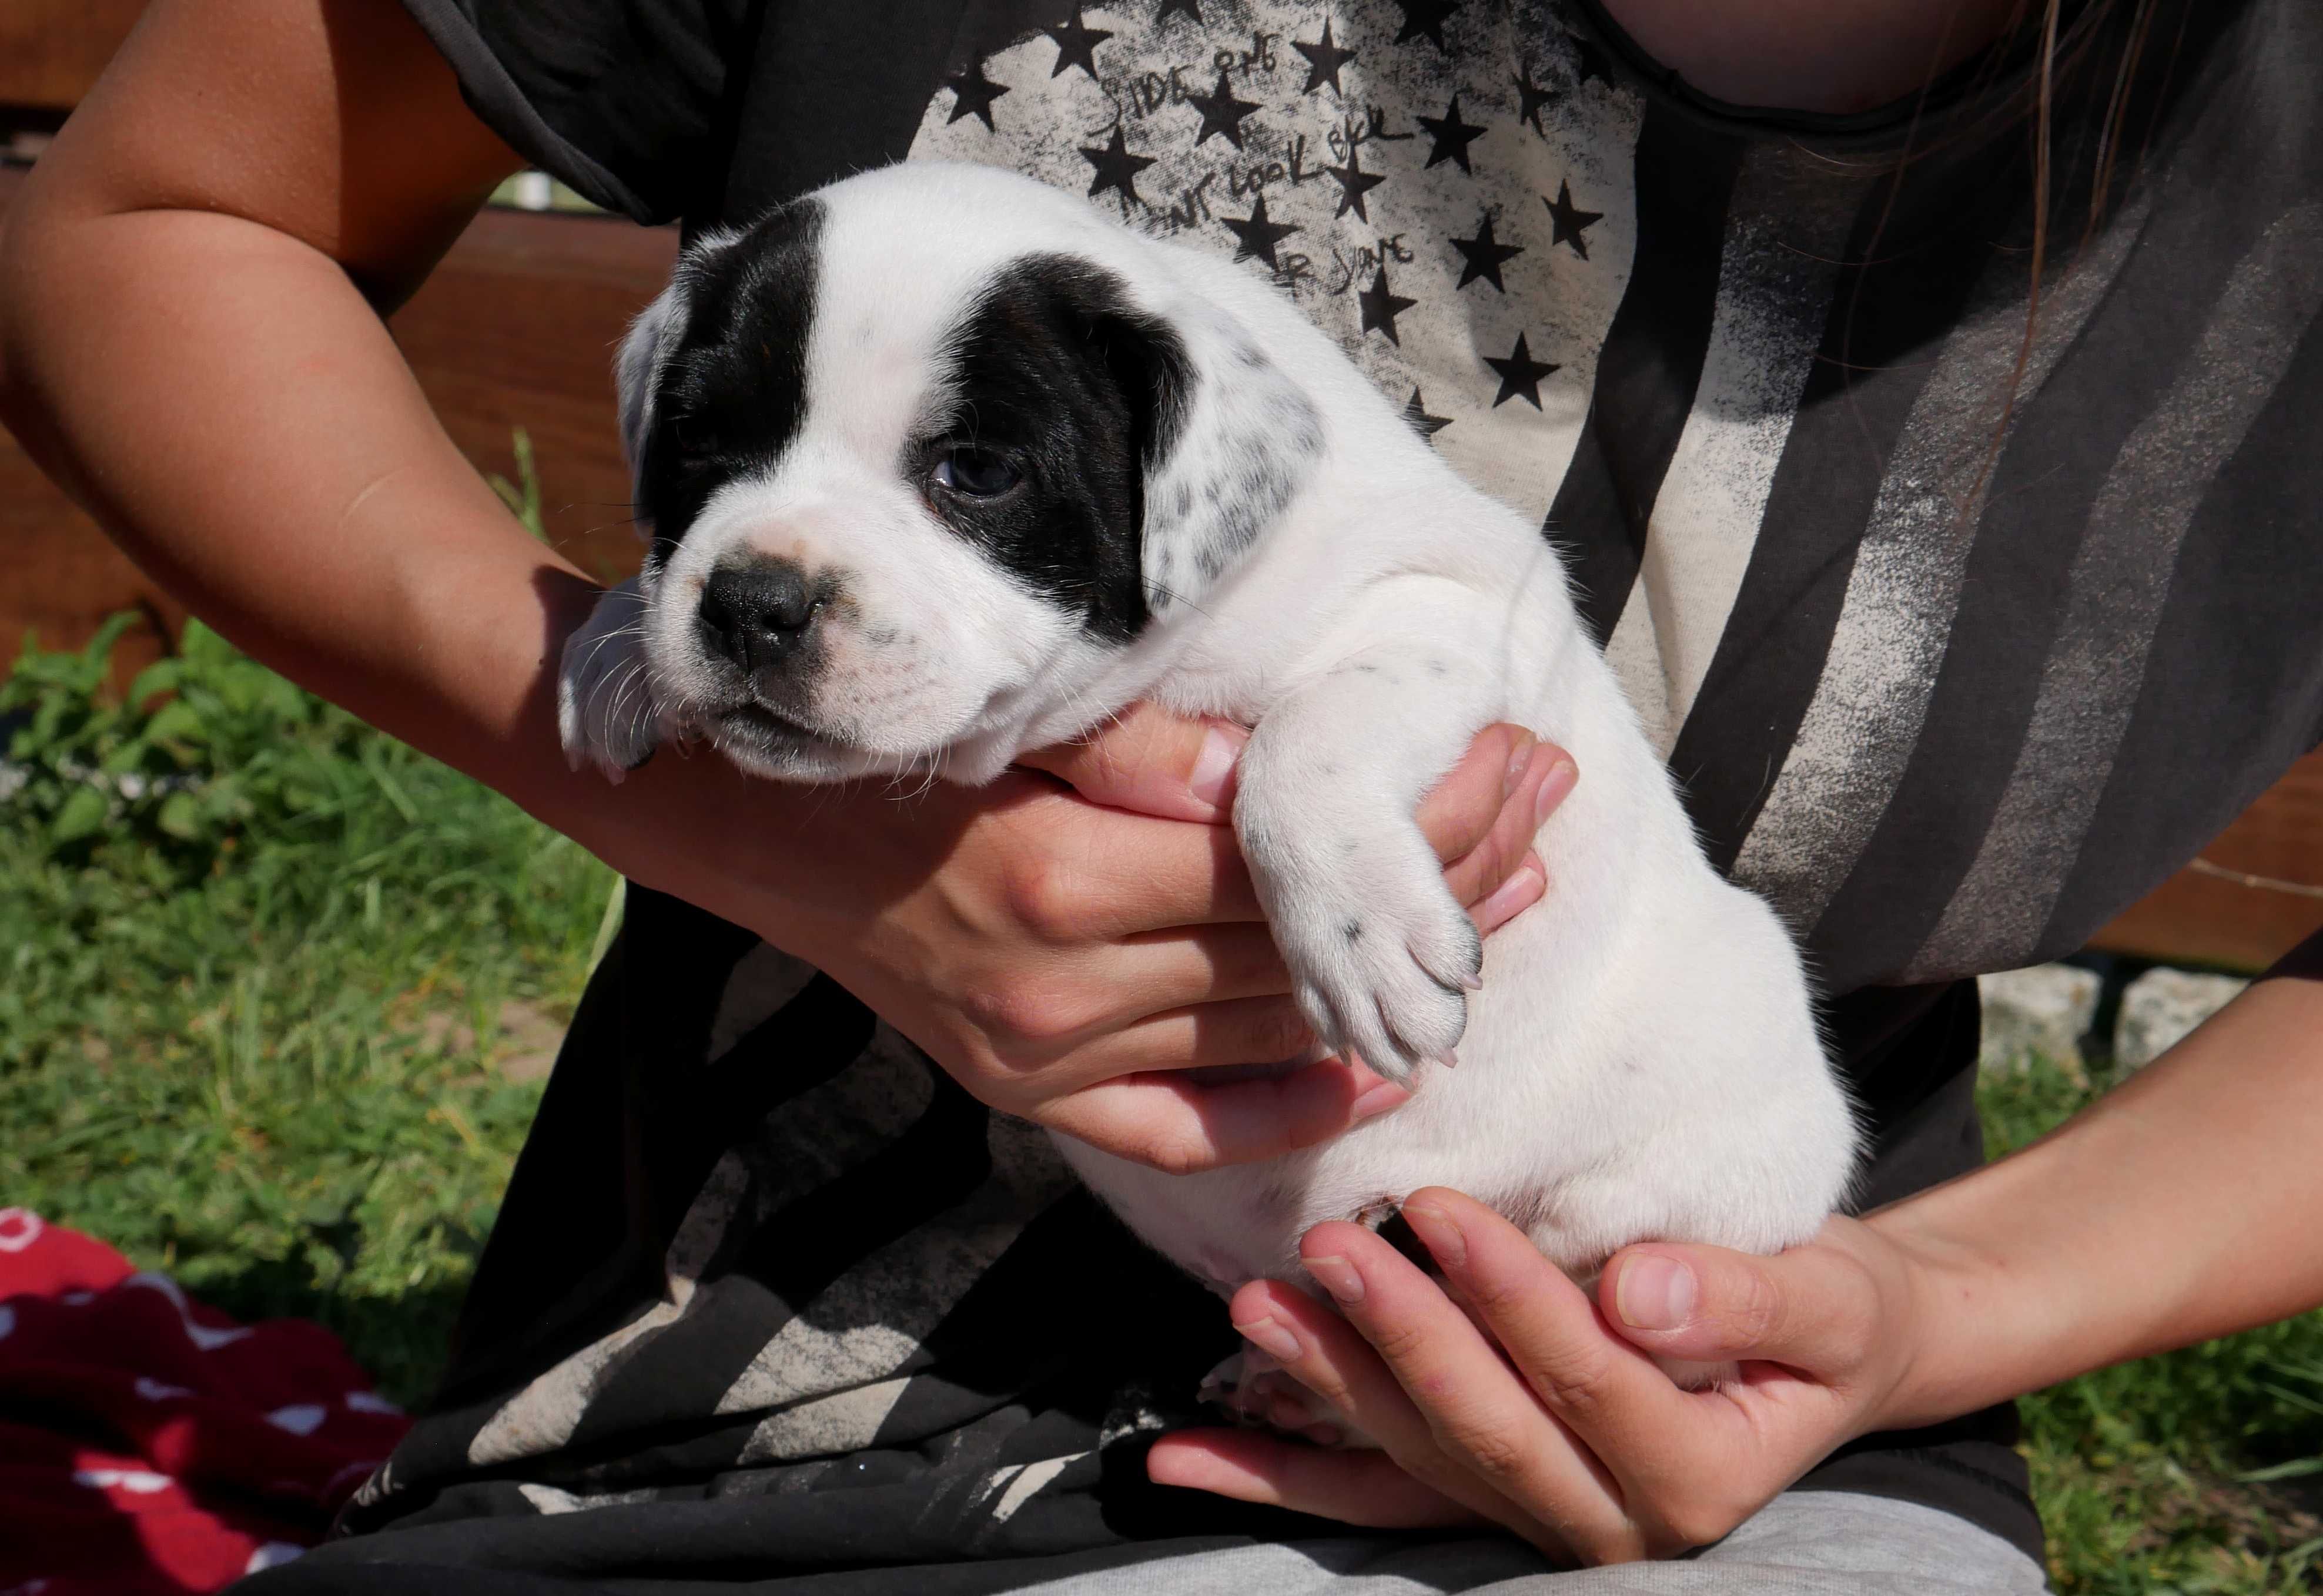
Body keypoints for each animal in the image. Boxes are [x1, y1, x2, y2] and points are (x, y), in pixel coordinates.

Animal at [562, 165, 1849, 1319]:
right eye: (697, 438)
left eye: (973, 471)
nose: (752, 603)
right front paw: (605, 648)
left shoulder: (1454, 600)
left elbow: (1308, 737)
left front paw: (1359, 931)